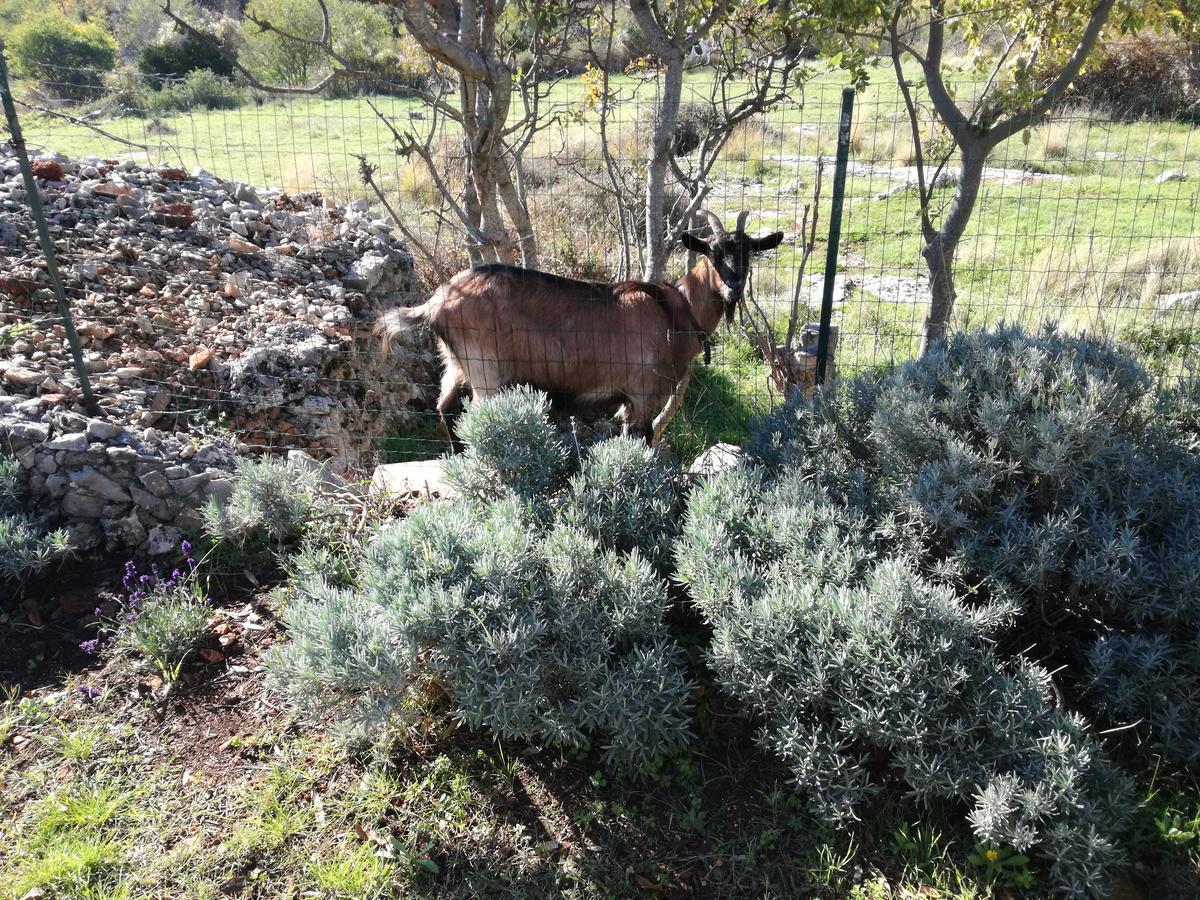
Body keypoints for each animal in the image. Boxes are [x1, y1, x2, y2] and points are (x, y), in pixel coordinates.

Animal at [379, 212, 782, 451]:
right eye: (712, 253)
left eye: (749, 252)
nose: (733, 289)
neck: (676, 311)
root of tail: (437, 301)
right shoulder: (641, 393)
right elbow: (641, 439)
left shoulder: (628, 400)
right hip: (484, 367)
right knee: (478, 415)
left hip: (457, 362)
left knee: (446, 407)